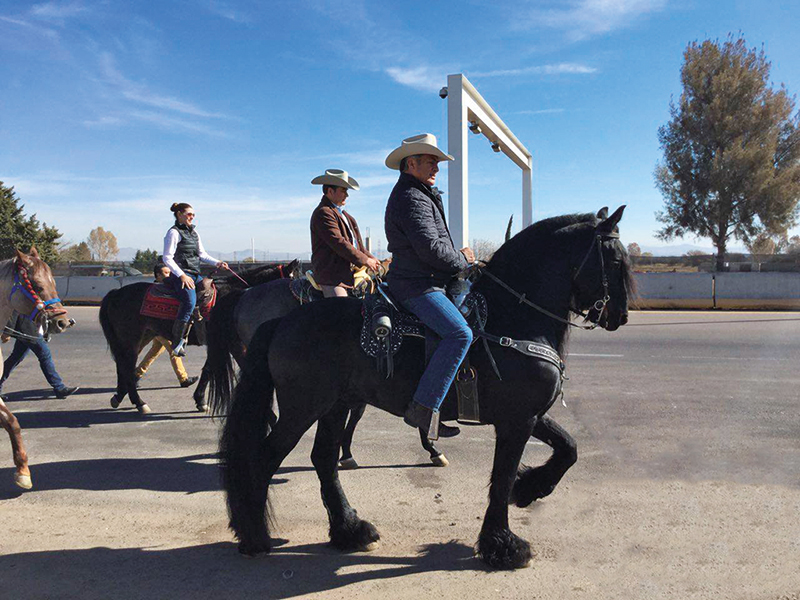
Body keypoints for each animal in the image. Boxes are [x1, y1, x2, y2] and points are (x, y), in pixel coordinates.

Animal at [99, 260, 298, 414]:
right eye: (292, 281)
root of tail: (116, 293)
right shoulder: (226, 342)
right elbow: (209, 368)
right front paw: (201, 400)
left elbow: (208, 369)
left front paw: (200, 400)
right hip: (130, 339)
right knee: (126, 365)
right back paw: (139, 402)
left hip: (140, 337)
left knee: (123, 365)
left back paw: (119, 396)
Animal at [216, 209, 636, 568]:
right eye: (615, 260)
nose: (620, 316)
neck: (512, 319)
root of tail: (284, 321)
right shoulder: (517, 421)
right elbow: (501, 478)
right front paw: (503, 545)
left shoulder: (529, 414)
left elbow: (569, 448)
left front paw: (529, 488)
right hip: (302, 408)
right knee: (265, 460)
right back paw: (255, 537)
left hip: (336, 405)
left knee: (323, 459)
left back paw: (350, 529)